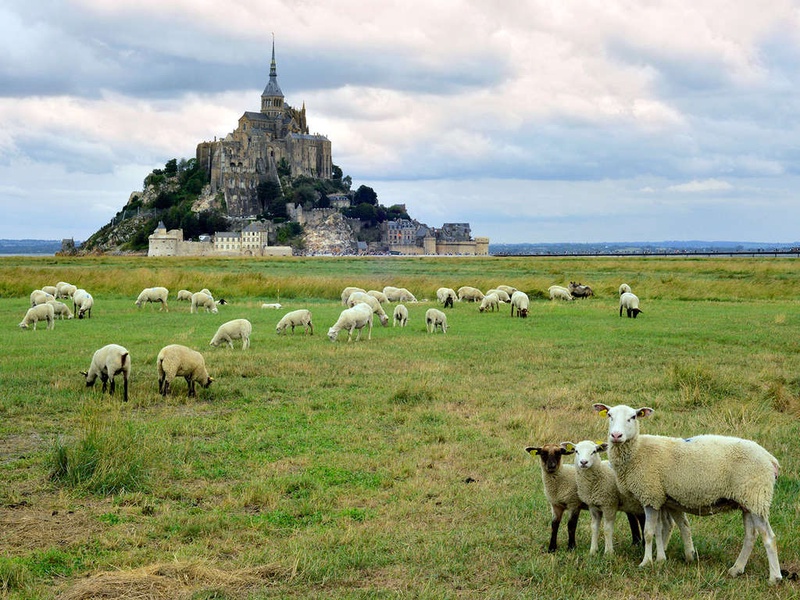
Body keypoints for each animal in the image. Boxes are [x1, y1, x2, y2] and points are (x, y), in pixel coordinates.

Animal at [592, 404, 780, 580]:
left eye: (632, 417)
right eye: (609, 415)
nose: (616, 436)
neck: (637, 451)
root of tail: (770, 459)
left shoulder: (649, 495)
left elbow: (649, 532)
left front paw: (646, 562)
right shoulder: (660, 497)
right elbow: (662, 529)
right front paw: (660, 558)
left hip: (757, 496)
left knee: (769, 538)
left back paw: (774, 577)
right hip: (748, 501)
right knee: (750, 536)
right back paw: (736, 569)